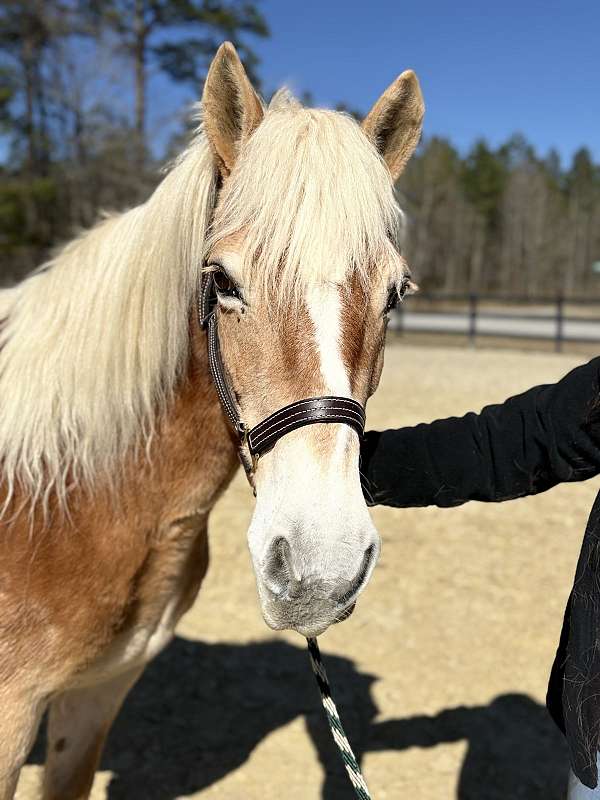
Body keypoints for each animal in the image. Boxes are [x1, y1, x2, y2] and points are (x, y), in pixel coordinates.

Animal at [0, 43, 422, 800]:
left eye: (395, 294)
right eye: (222, 281)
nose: (320, 572)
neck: (70, 491)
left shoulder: (94, 695)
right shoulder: (10, 715)